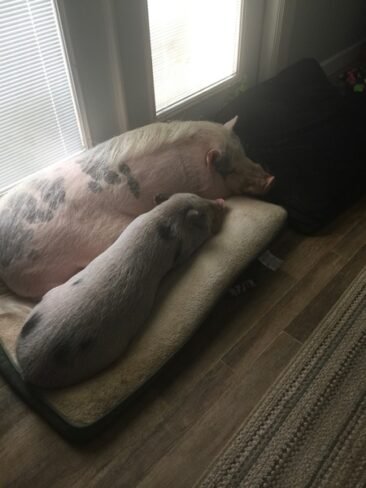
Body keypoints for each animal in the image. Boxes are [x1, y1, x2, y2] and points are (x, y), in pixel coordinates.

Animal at [16, 193, 226, 386]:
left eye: (199, 196)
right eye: (205, 208)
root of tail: (26, 369)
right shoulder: (185, 249)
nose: (220, 201)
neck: (165, 218)